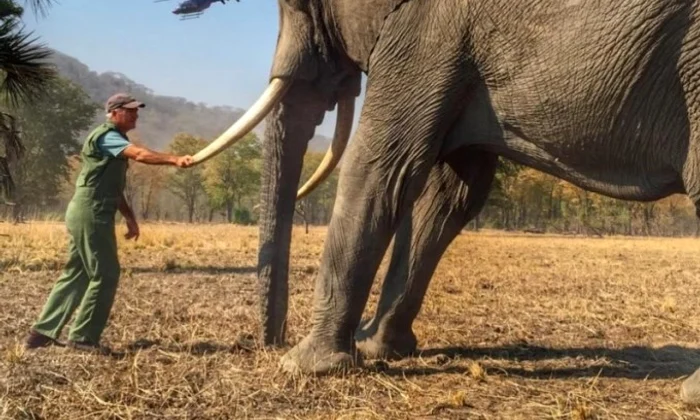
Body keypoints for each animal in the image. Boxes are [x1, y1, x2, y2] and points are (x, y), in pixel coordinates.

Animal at [189, 0, 700, 404]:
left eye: (297, 5)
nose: (265, 343)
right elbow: (450, 194)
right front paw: (377, 349)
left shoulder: (426, 33)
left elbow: (379, 164)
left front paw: (304, 366)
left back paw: (690, 393)